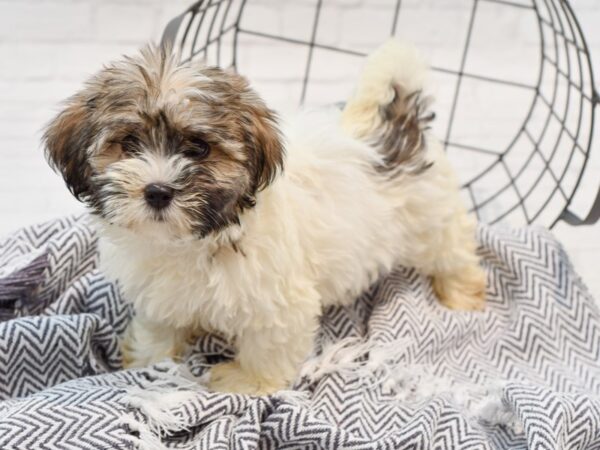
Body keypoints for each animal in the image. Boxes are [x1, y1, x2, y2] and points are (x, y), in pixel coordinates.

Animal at [45, 41, 488, 394]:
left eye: (199, 148)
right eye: (129, 143)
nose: (157, 191)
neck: (193, 239)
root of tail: (396, 126)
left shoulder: (278, 300)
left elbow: (268, 344)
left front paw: (247, 380)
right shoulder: (158, 289)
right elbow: (160, 323)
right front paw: (149, 356)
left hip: (431, 220)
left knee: (453, 250)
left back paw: (461, 290)